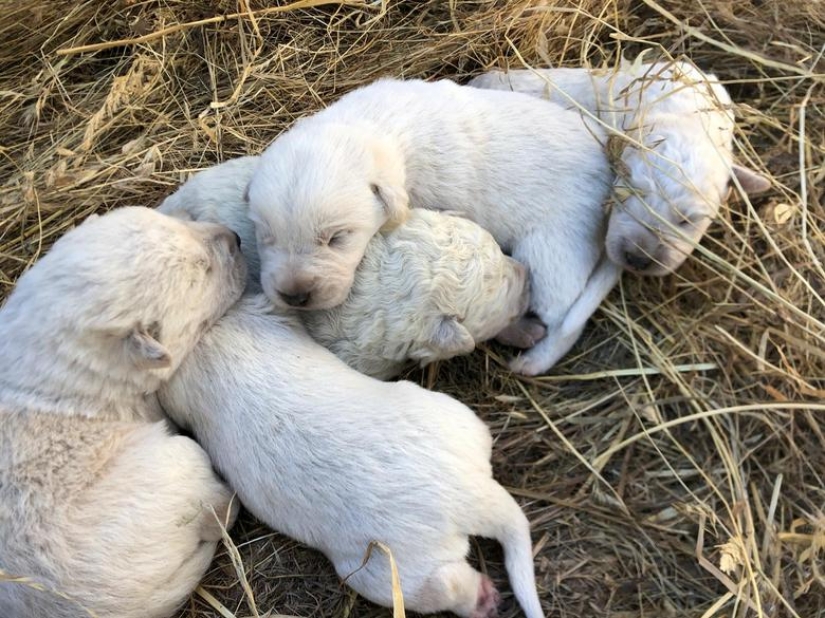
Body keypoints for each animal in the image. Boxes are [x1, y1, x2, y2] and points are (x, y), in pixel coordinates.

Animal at [159, 294, 548, 616]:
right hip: (452, 418)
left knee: (444, 587)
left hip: (385, 571)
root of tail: (469, 494)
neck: (215, 334)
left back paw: (485, 600)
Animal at [245, 78, 612, 376]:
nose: (295, 296)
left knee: (564, 318)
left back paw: (534, 358)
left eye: (337, 238)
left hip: (555, 246)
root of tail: (608, 167)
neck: (369, 128)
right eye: (266, 236)